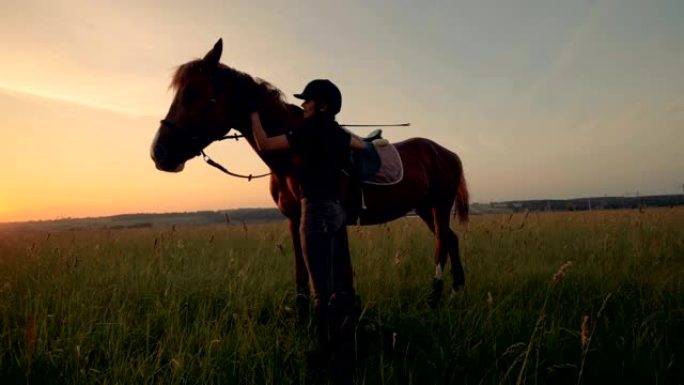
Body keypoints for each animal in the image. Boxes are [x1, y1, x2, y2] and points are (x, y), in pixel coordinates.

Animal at [151, 39, 470, 308]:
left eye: (193, 93)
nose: (158, 153)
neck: (293, 154)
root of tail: (445, 152)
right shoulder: (295, 220)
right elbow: (301, 271)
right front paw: (302, 311)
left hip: (440, 206)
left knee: (442, 244)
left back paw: (435, 296)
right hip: (425, 208)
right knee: (451, 240)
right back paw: (456, 291)